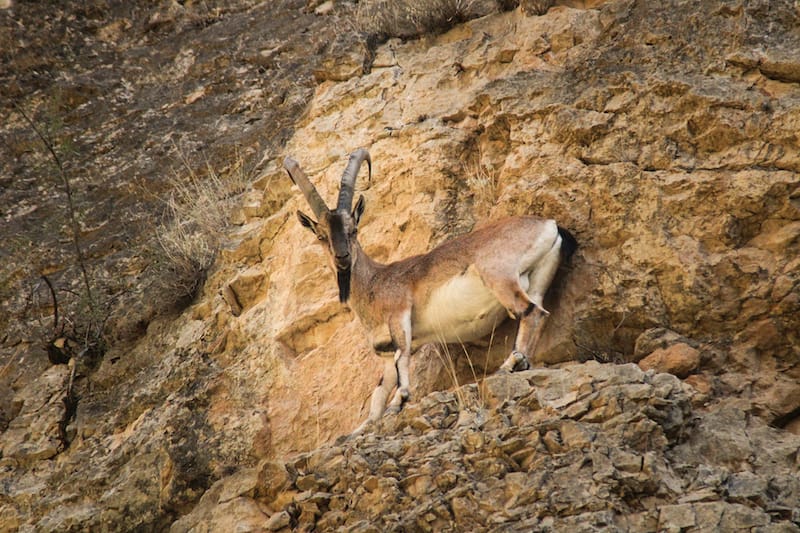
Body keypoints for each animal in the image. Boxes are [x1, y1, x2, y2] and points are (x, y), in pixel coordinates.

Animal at [286, 148, 576, 430]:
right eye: (321, 236)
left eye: (353, 229)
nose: (343, 258)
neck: (374, 283)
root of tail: (550, 225)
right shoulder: (389, 346)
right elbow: (379, 390)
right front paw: (361, 428)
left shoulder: (399, 315)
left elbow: (401, 361)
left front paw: (399, 401)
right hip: (538, 279)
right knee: (540, 312)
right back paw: (524, 362)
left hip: (499, 277)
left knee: (529, 311)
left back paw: (509, 364)